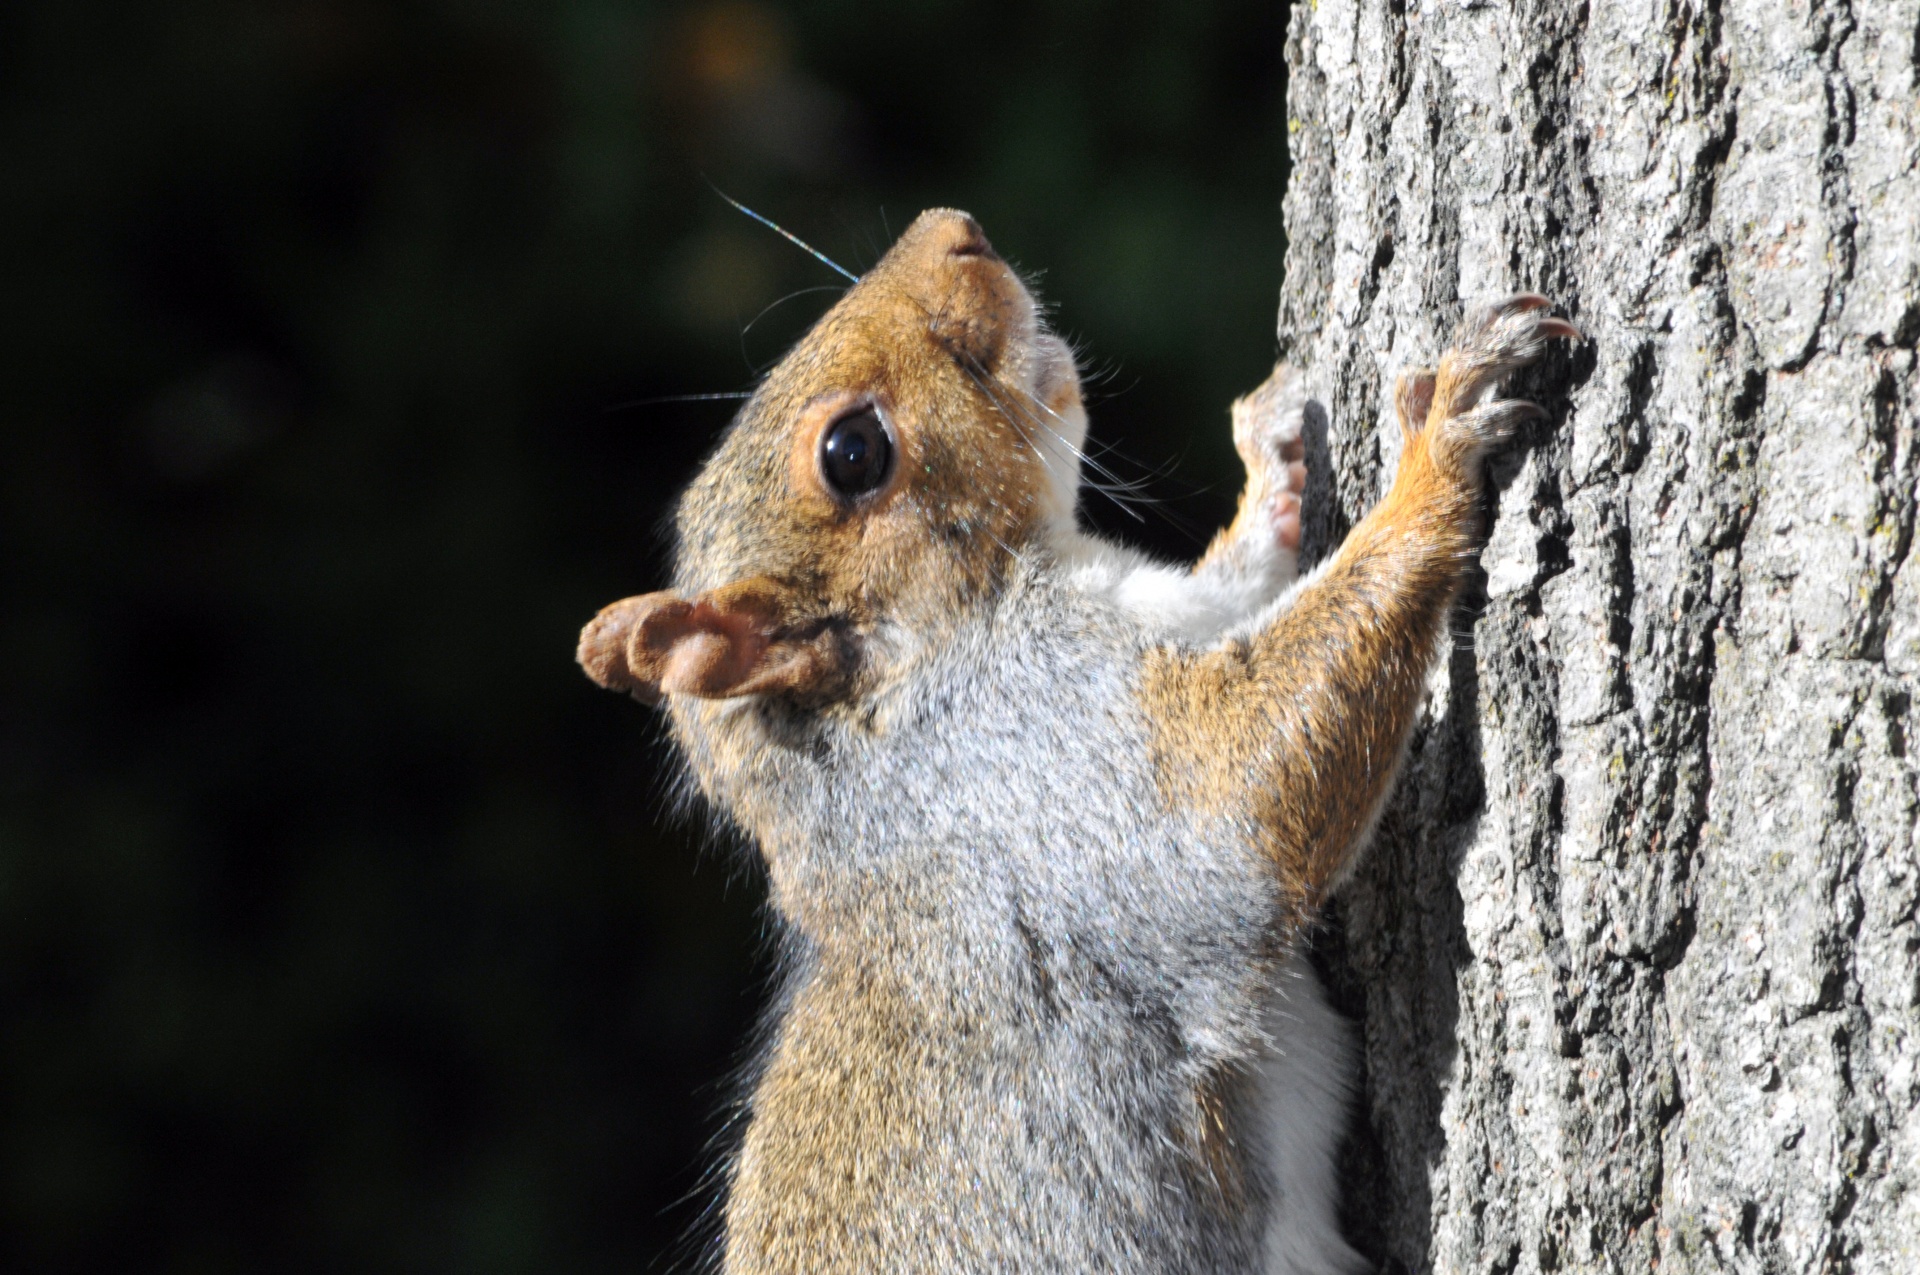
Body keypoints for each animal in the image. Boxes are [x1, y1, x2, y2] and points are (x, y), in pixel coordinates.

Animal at [572, 211, 1574, 1275]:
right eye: (851, 453)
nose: (955, 230)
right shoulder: (1043, 768)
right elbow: (1238, 804)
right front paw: (1442, 439)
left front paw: (1274, 461)